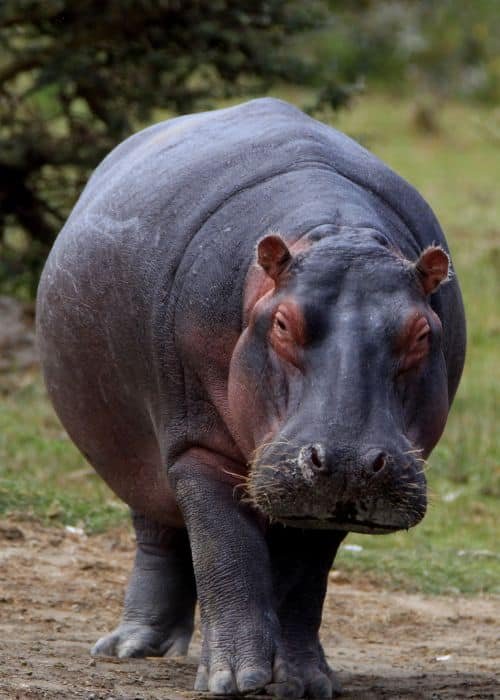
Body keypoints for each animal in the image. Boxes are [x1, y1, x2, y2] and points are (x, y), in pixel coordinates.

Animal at [36, 98, 466, 698]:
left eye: (422, 332)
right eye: (282, 323)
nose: (350, 460)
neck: (334, 233)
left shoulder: (324, 497)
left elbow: (303, 580)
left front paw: (303, 682)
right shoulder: (197, 447)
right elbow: (226, 551)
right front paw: (234, 679)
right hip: (135, 450)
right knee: (157, 533)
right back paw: (131, 649)